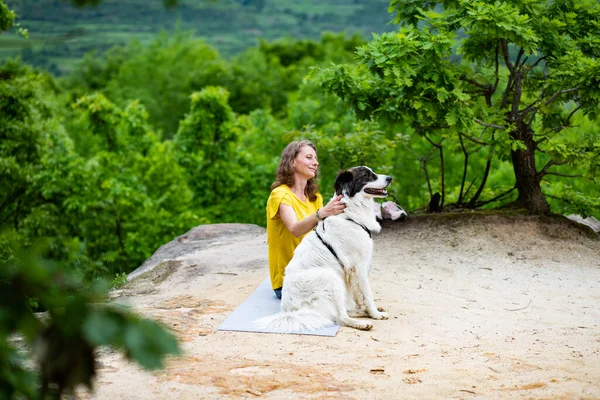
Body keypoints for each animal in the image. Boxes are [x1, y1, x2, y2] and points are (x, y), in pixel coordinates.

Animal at [255, 167, 392, 332]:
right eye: (367, 175)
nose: (390, 178)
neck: (349, 213)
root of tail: (291, 310)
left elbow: (359, 295)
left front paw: (370, 310)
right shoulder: (357, 267)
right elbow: (367, 293)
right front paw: (375, 313)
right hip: (330, 278)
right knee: (340, 317)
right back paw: (362, 323)